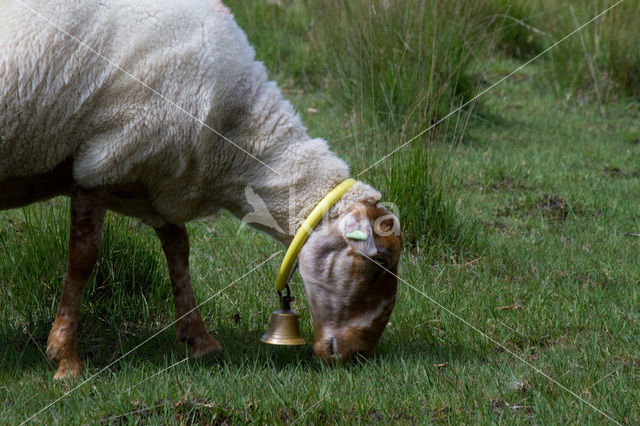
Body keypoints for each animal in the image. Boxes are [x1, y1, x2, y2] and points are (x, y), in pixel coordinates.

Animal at [0, 0, 402, 380]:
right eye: (380, 261)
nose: (359, 356)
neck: (233, 134)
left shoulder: (153, 176)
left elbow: (179, 250)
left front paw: (200, 340)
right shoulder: (101, 159)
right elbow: (83, 258)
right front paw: (65, 358)